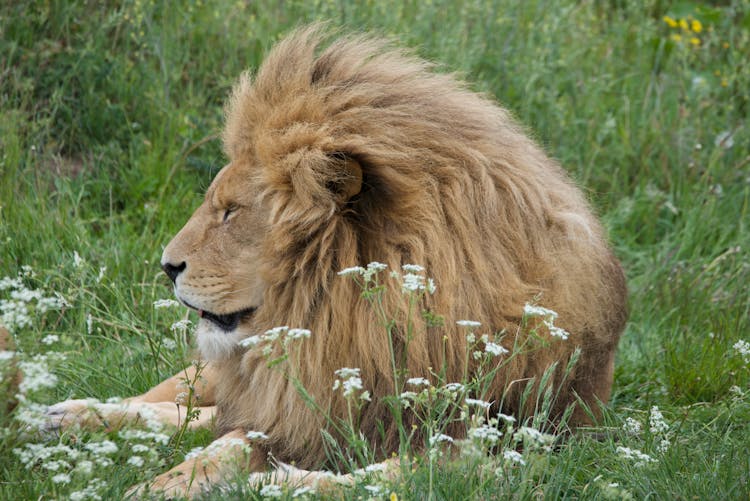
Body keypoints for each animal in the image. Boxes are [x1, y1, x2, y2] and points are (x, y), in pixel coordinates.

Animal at [47, 24, 628, 496]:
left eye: (231, 212)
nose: (167, 266)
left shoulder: (512, 446)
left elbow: (387, 477)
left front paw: (275, 483)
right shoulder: (298, 403)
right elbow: (222, 440)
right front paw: (158, 483)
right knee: (180, 399)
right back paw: (63, 415)